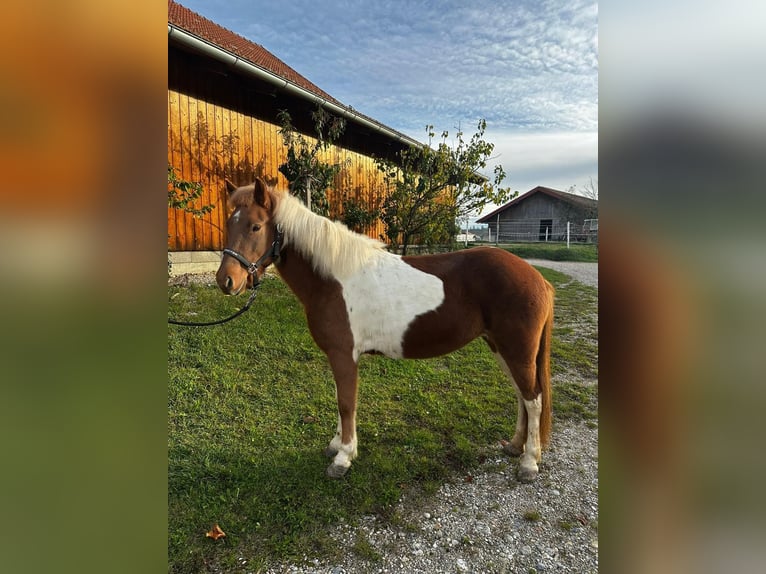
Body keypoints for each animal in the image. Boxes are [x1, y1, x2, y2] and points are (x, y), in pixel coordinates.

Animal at [215, 178, 555, 482]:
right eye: (229, 224)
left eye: (256, 226)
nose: (226, 281)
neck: (334, 279)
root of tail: (538, 279)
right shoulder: (339, 357)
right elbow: (340, 398)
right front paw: (336, 445)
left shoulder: (344, 355)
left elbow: (346, 403)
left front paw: (343, 458)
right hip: (501, 348)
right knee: (521, 397)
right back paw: (515, 446)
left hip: (517, 351)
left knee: (533, 399)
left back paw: (528, 462)